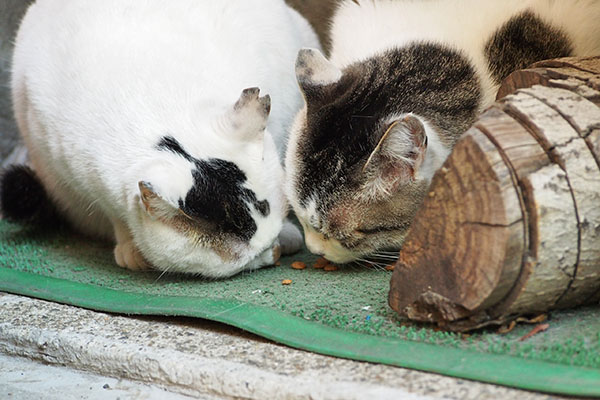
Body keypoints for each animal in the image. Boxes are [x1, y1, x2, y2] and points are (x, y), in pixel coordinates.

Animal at [5, 0, 318, 276]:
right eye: (249, 258)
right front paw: (130, 247)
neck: (149, 105)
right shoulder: (78, 173)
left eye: (270, 238)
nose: (273, 253)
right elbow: (113, 211)